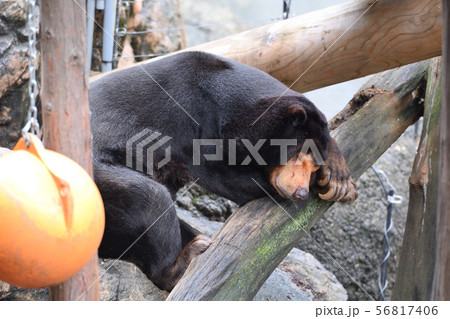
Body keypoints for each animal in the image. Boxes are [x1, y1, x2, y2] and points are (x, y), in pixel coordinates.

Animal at [88, 51, 356, 292]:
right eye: (299, 153)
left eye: (314, 163)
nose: (300, 192)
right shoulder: (195, 124)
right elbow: (224, 177)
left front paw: (339, 181)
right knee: (150, 198)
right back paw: (186, 259)